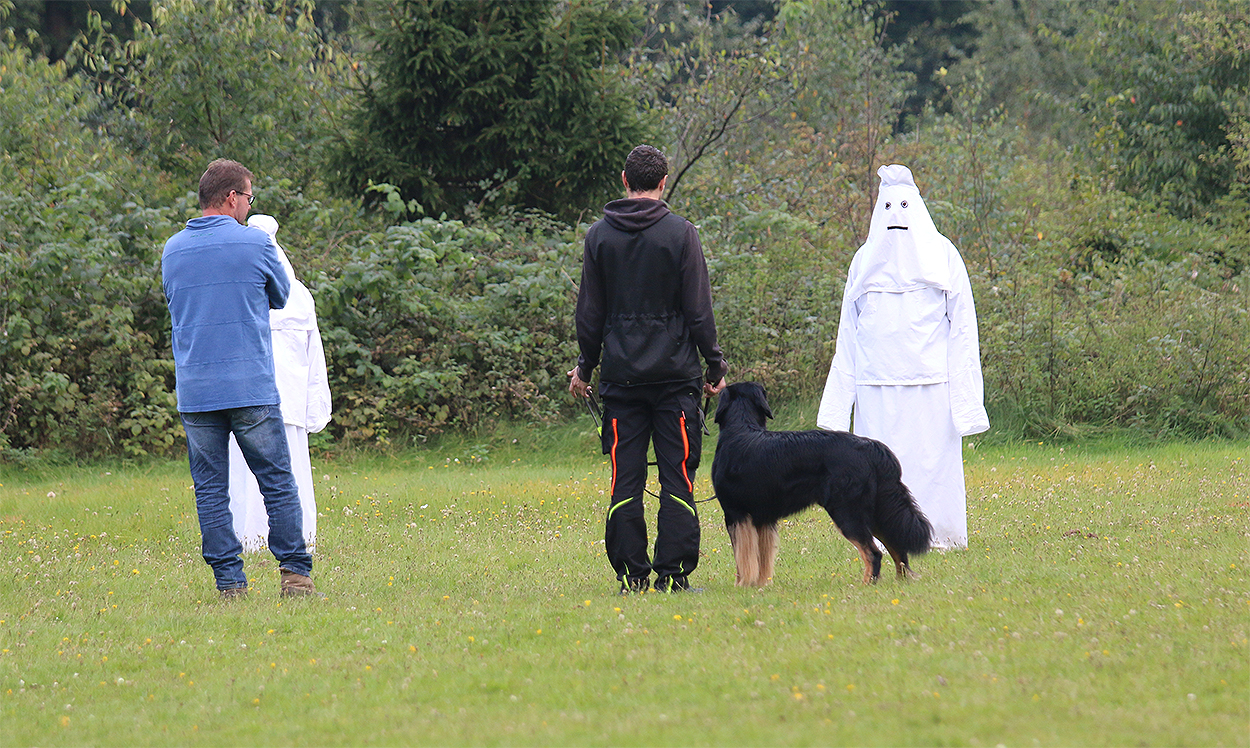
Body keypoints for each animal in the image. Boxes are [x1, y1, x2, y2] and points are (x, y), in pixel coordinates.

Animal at [711, 382, 932, 586]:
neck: (741, 428)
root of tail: (872, 447)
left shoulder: (735, 513)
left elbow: (742, 557)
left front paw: (742, 585)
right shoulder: (763, 517)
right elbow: (761, 557)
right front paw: (761, 584)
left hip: (847, 511)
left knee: (873, 553)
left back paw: (865, 585)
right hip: (877, 511)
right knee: (897, 547)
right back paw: (901, 582)